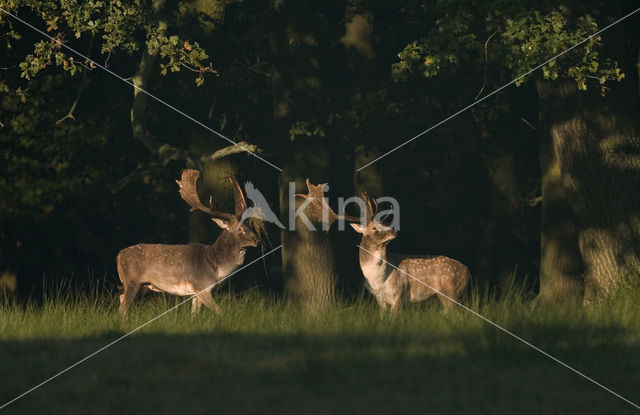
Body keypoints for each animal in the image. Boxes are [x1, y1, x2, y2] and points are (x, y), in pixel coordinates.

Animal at [115, 168, 258, 316]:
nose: (256, 239)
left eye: (249, 225)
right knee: (121, 308)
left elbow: (194, 314)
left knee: (121, 297)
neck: (216, 266)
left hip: (143, 285)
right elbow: (219, 311)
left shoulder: (196, 293)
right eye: (239, 229)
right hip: (132, 280)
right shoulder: (202, 286)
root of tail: (118, 256)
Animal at [296, 180, 470, 314]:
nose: (394, 230)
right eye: (374, 228)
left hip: (451, 291)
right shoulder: (379, 299)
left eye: (385, 224)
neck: (379, 280)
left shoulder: (398, 295)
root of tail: (468, 272)